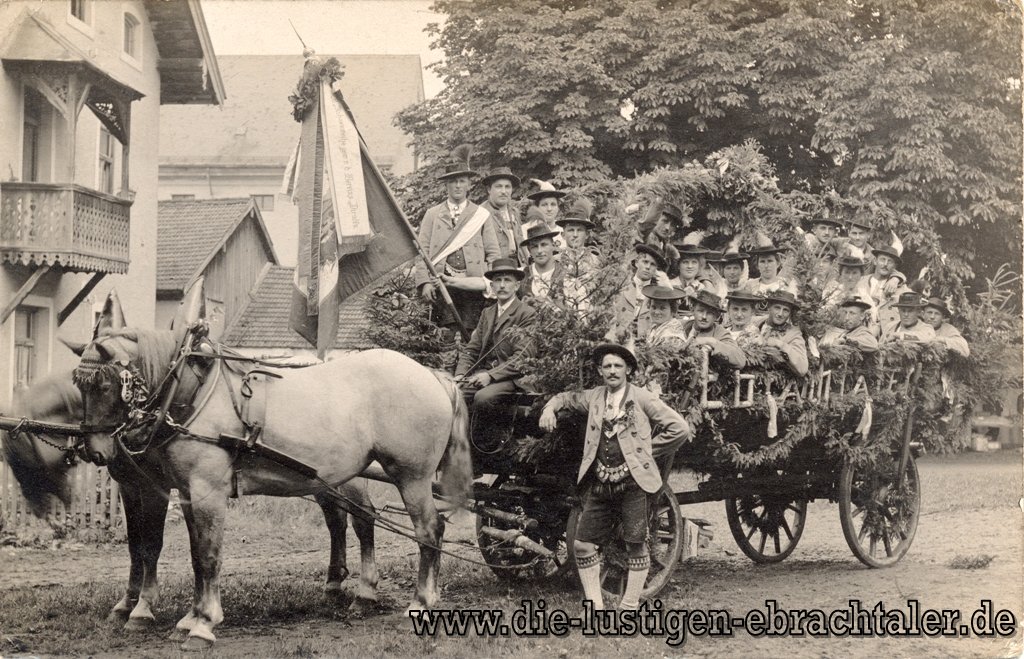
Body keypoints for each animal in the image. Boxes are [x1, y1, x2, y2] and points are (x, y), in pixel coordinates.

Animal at [2, 369, 381, 635]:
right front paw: (128, 604)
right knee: (335, 521)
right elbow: (140, 547)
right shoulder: (133, 486)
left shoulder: (153, 487)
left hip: (347, 479)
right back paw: (333, 584)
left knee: (363, 519)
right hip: (323, 483)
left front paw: (142, 609)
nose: (48, 515)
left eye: (19, 453)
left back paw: (364, 594)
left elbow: (151, 546)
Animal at [70, 293, 472, 650]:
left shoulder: (204, 491)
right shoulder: (185, 492)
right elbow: (196, 555)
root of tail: (433, 376)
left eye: (104, 384)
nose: (96, 450)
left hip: (411, 476)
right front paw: (189, 618)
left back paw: (420, 602)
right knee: (364, 522)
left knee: (428, 530)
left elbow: (207, 554)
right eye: (79, 384)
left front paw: (202, 623)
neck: (193, 392)